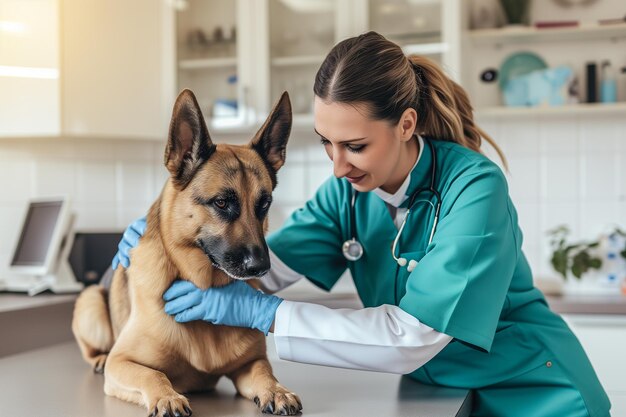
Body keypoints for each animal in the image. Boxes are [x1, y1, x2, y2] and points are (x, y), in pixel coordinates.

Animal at [72, 89, 302, 414]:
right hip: (90, 302)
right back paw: (99, 358)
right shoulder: (123, 362)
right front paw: (166, 396)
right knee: (95, 347)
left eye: (264, 204)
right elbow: (153, 374)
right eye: (221, 203)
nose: (260, 267)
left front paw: (277, 390)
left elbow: (264, 372)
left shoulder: (250, 363)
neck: (204, 285)